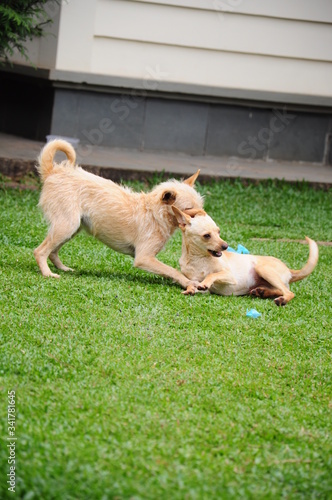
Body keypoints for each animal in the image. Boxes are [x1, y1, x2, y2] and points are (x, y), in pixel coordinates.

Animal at [35, 141, 204, 290]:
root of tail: (53, 171)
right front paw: (188, 282)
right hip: (66, 226)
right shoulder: (144, 258)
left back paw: (62, 268)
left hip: (72, 228)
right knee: (40, 251)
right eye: (189, 209)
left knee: (53, 252)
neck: (155, 213)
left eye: (201, 206)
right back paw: (47, 273)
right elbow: (171, 270)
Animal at [172, 207, 318, 304]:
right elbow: (193, 285)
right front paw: (190, 289)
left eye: (218, 232)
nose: (225, 246)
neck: (198, 259)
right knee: (280, 290)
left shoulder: (229, 276)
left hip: (263, 269)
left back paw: (282, 299)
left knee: (288, 292)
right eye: (207, 236)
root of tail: (289, 270)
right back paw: (262, 292)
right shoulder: (200, 285)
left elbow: (212, 275)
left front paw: (206, 280)